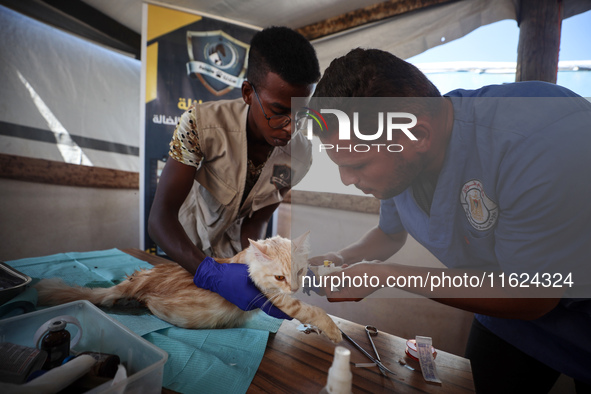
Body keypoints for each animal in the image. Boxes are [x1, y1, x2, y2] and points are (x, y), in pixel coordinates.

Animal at [34, 234, 342, 342]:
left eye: (300, 272)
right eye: (279, 277)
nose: (295, 286)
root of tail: (145, 275)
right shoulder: (273, 299)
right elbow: (312, 311)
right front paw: (333, 332)